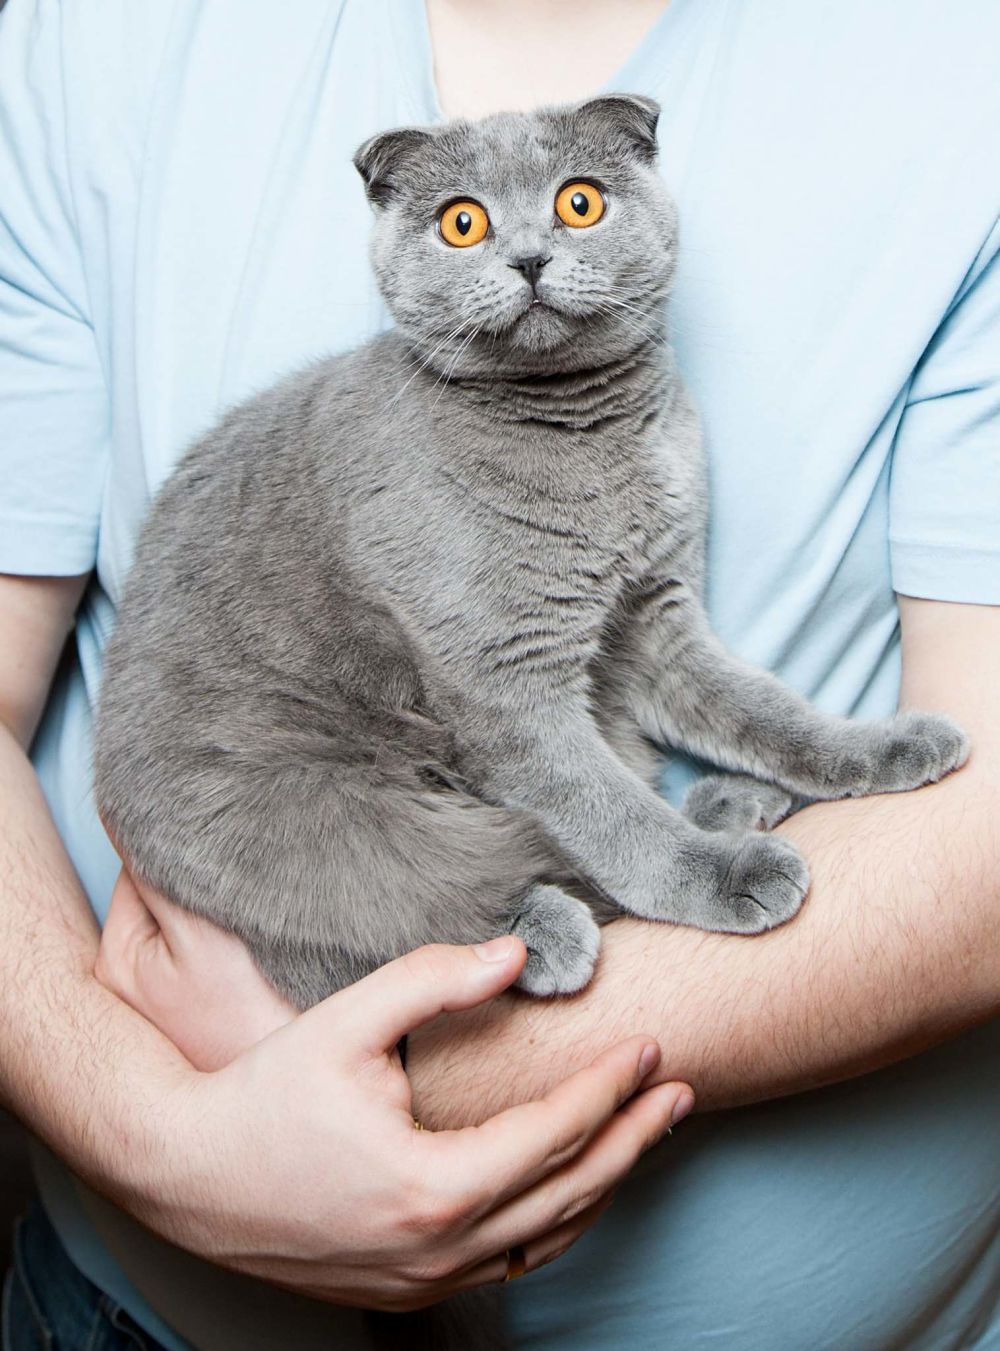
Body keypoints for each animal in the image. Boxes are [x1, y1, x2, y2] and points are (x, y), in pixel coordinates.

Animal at [95, 92, 967, 1015]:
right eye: (463, 222)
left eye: (578, 202)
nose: (530, 258)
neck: (587, 442)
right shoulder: (504, 683)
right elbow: (605, 810)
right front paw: (715, 877)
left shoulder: (656, 613)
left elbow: (763, 709)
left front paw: (876, 748)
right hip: (309, 812)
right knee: (389, 906)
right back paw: (548, 926)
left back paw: (733, 802)